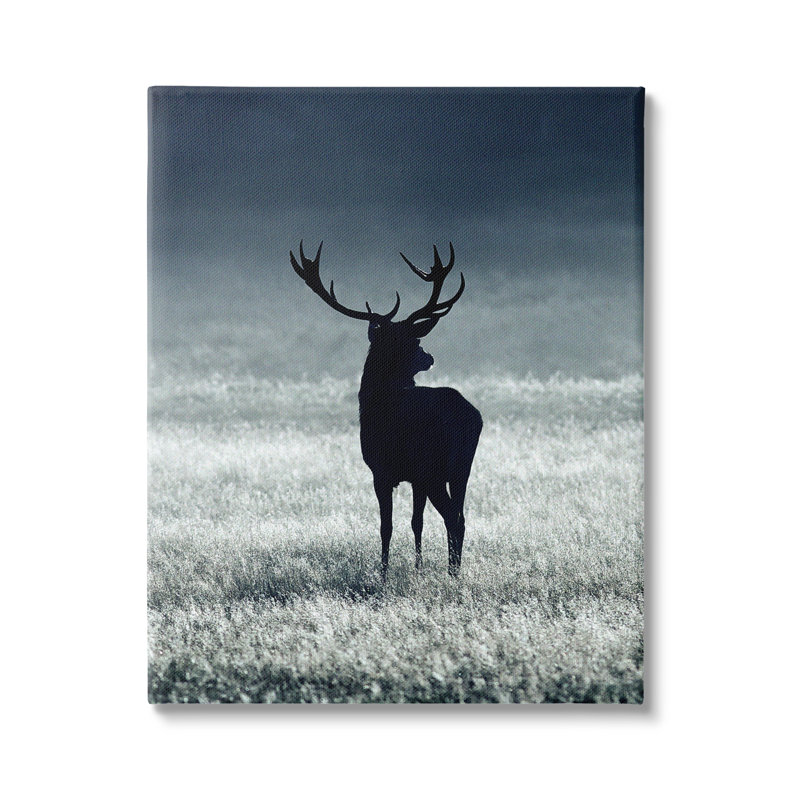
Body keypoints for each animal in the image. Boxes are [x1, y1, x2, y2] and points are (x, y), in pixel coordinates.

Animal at [290, 241, 482, 578]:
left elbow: (386, 526)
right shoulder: (414, 478)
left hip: (433, 466)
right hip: (462, 467)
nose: (429, 357)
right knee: (460, 516)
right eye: (415, 342)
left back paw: (452, 574)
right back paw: (455, 570)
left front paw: (382, 572)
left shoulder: (381, 470)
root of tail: (470, 416)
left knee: (453, 518)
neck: (375, 401)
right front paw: (417, 566)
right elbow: (416, 522)